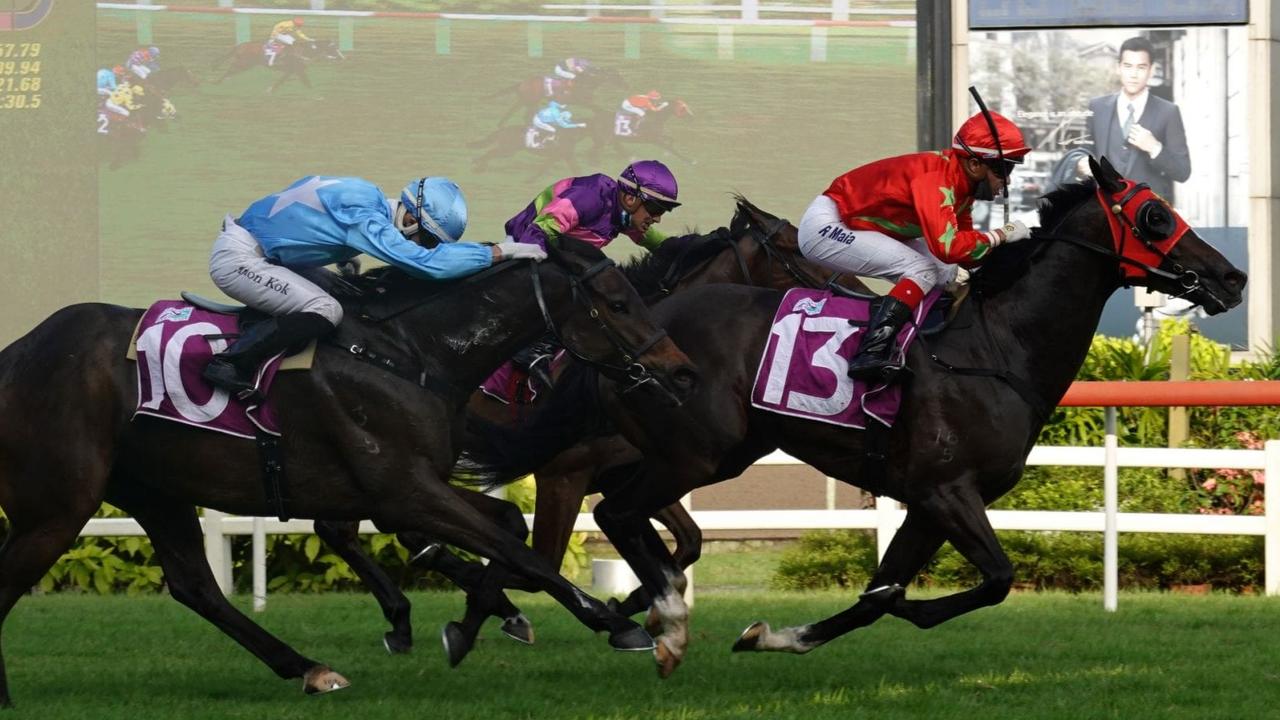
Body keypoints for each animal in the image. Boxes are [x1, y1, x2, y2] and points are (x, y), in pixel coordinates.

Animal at [0, 237, 701, 707]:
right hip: (58, 504)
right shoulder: (402, 489)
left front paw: (475, 617)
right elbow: (525, 552)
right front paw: (623, 623)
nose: (682, 371)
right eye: (618, 302)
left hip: (153, 490)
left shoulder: (413, 486)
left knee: (196, 586)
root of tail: (17, 353)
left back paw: (310, 668)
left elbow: (506, 528)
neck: (411, 353)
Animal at [458, 155, 1239, 671]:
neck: (996, 347)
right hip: (695, 451)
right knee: (615, 517)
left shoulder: (929, 502)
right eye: (1155, 214)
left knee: (636, 525)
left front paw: (779, 636)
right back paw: (659, 621)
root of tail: (647, 327)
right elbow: (992, 579)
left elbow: (877, 595)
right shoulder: (946, 491)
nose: (1232, 277)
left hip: (696, 451)